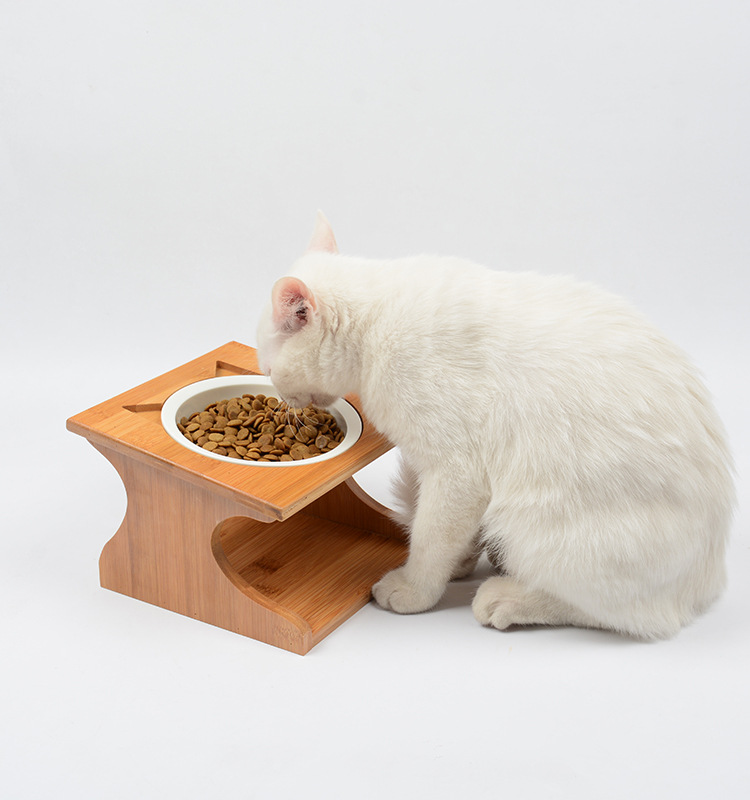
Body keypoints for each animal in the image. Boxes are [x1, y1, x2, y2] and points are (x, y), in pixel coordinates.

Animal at [256, 212, 735, 639]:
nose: (281, 396)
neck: (376, 324)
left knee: (633, 616)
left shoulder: (457, 473)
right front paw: (462, 561)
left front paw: (414, 588)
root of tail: (707, 579)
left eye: (269, 364)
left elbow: (430, 537)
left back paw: (508, 598)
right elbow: (444, 531)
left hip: (536, 523)